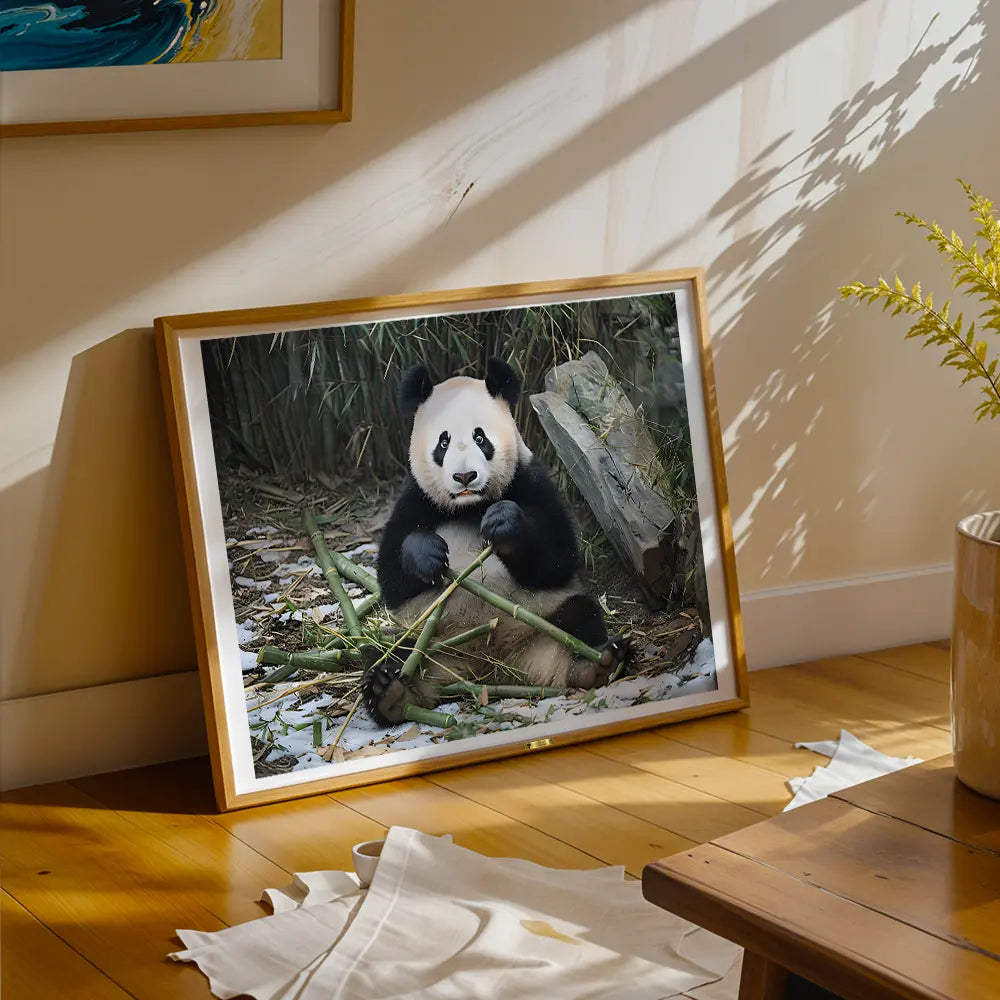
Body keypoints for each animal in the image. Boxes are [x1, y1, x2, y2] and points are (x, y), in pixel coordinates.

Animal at [360, 357, 632, 726]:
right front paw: (425, 553)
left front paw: (504, 524)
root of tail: (487, 668)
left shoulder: (531, 482)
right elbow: (391, 576)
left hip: (543, 620)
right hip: (424, 637)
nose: (464, 477)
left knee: (579, 615)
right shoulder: (414, 501)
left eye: (480, 437)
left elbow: (558, 558)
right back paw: (391, 693)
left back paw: (594, 665)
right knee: (385, 650)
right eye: (443, 443)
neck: (470, 507)